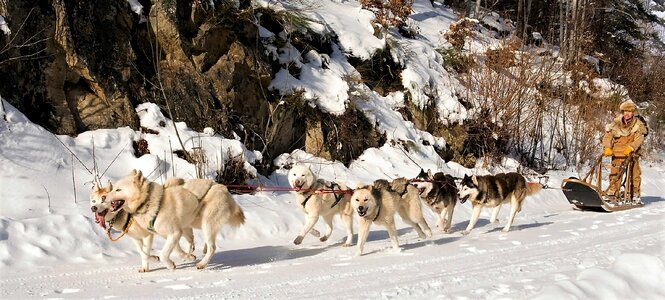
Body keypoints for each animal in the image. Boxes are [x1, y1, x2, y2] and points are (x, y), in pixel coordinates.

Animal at [107, 170, 245, 270]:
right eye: (113, 188)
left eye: (118, 189)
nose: (104, 197)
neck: (149, 202)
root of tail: (224, 189)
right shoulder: (170, 234)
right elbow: (176, 251)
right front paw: (187, 257)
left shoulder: (174, 233)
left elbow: (163, 254)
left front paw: (170, 265)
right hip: (191, 225)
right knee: (195, 242)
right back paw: (195, 254)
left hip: (207, 224)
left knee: (212, 247)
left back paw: (202, 264)